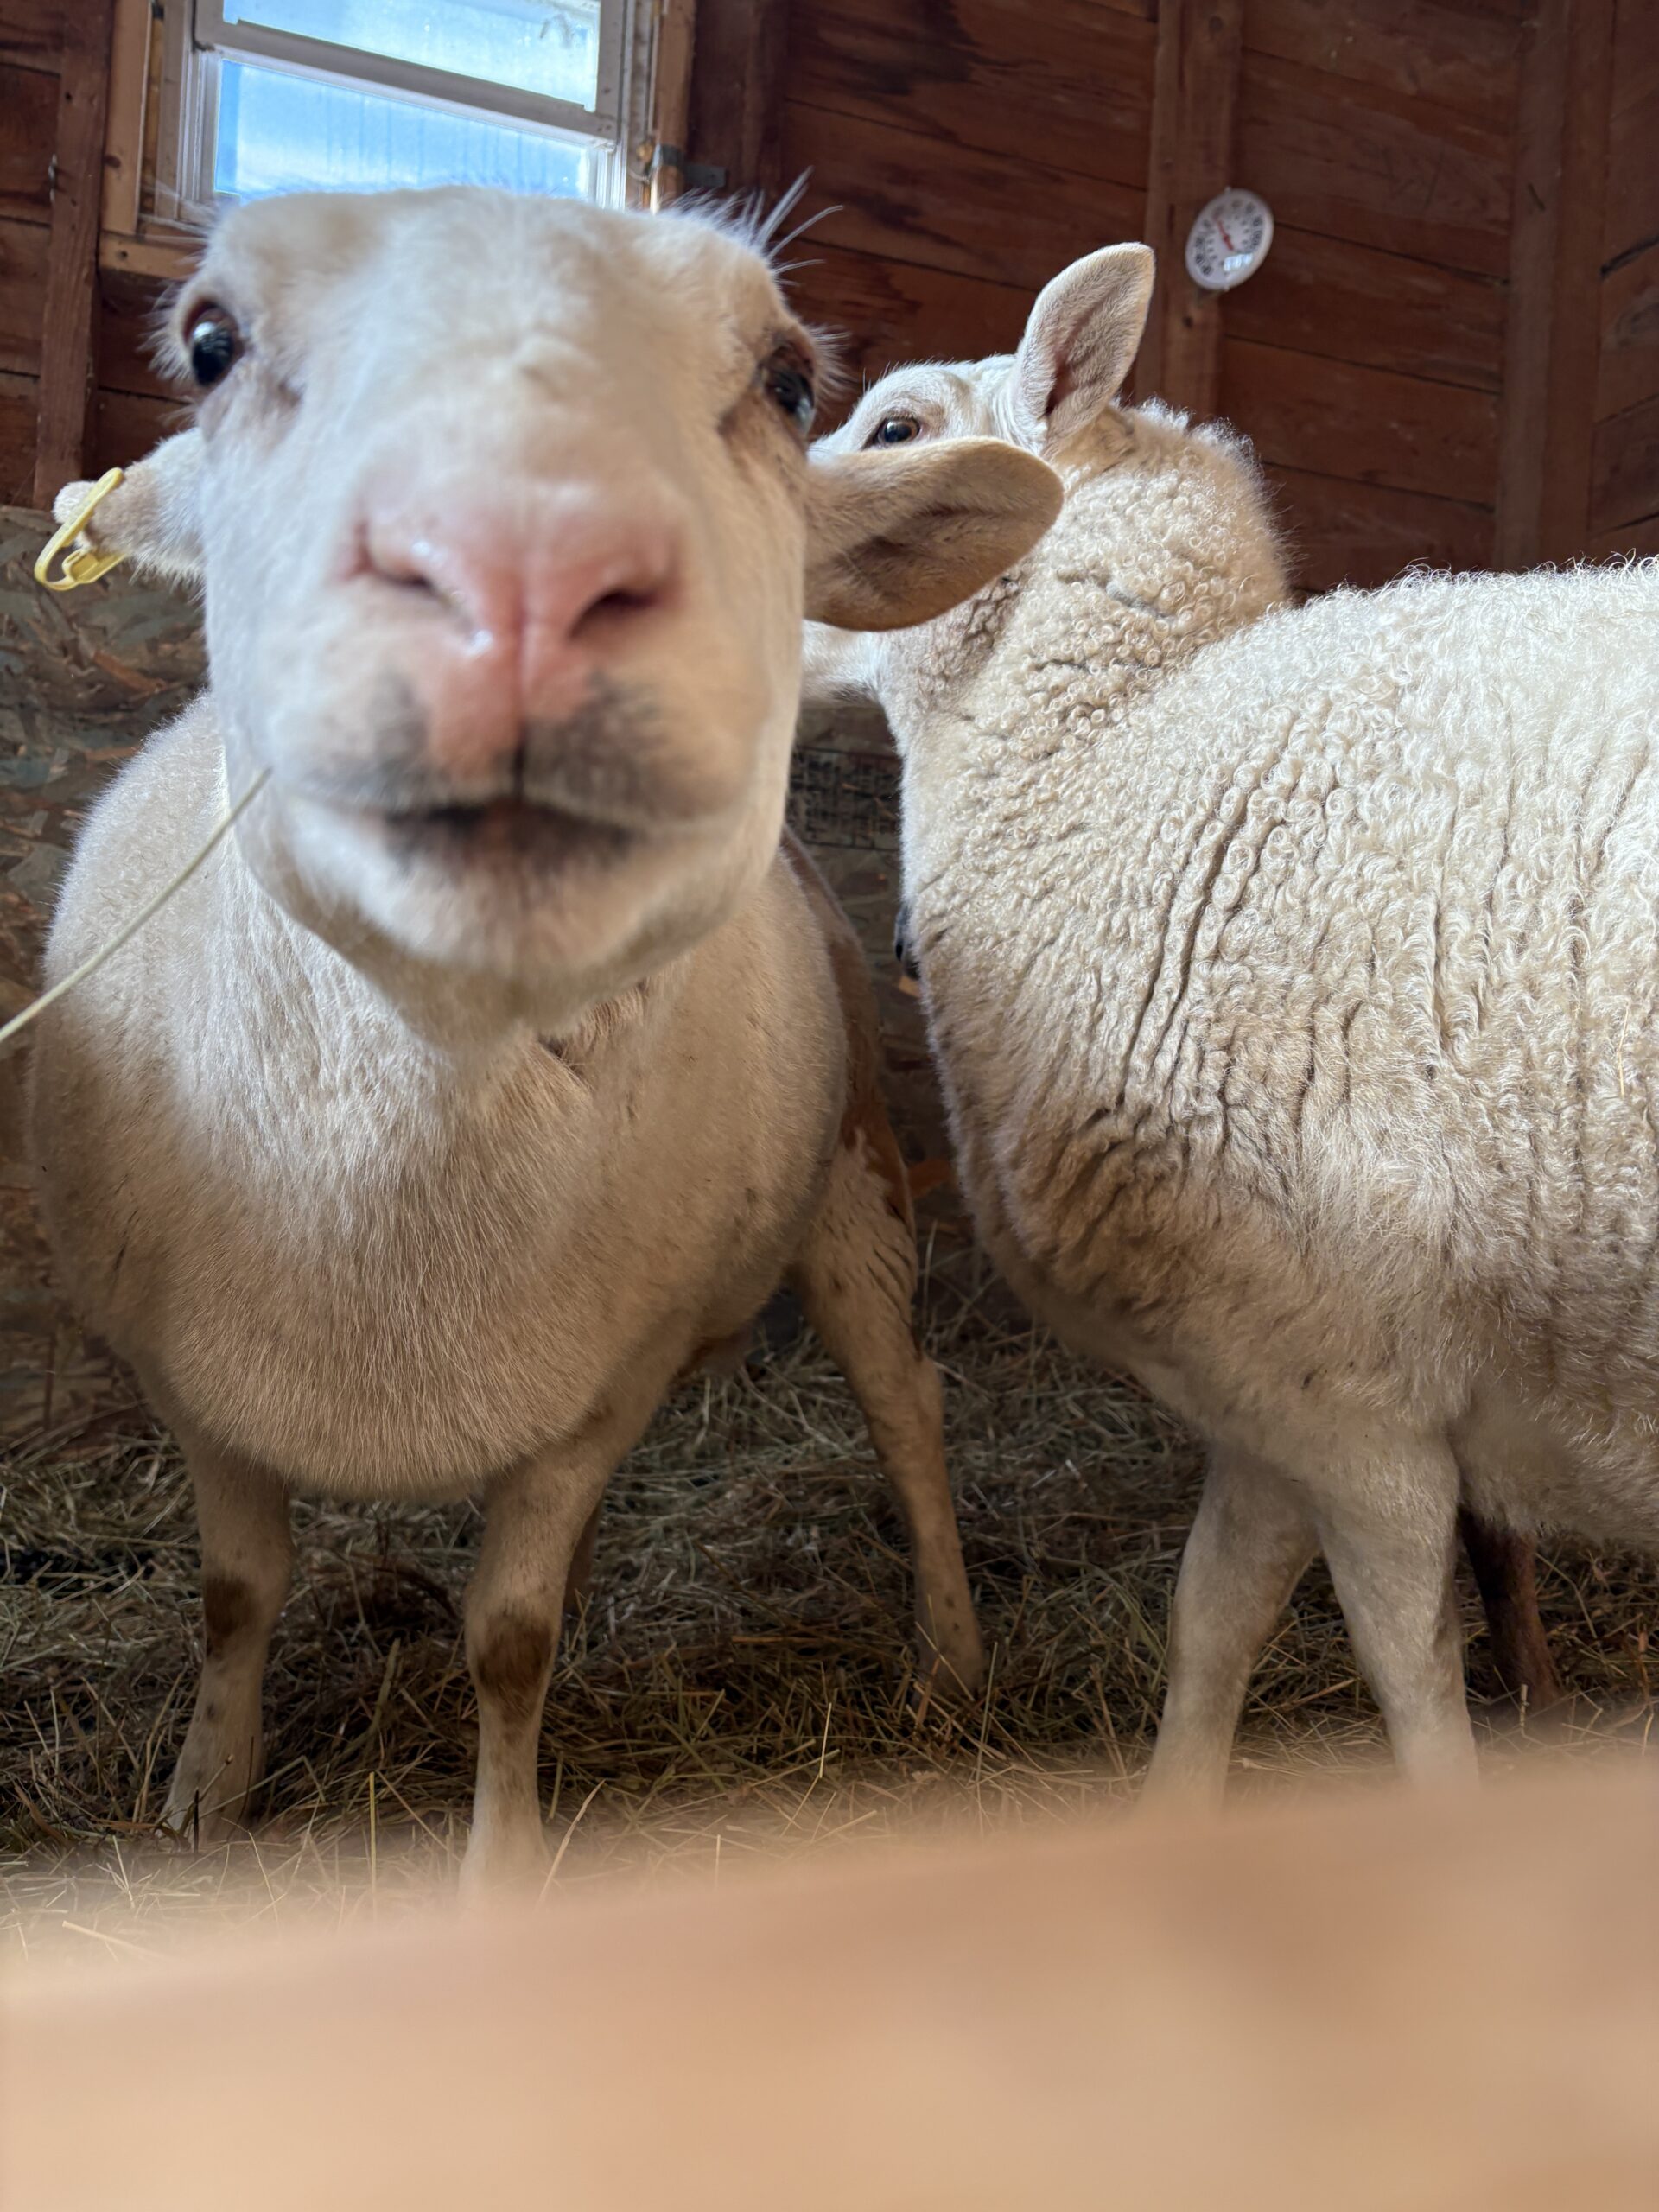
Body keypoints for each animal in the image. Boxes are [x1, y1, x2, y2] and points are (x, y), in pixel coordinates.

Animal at [27, 187, 1063, 1888]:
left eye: (788, 381)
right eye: (210, 342)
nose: (524, 568)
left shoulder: (604, 1390)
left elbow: (508, 1639)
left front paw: (500, 1862)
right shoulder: (186, 1378)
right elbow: (236, 1598)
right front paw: (203, 1794)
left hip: (853, 1173)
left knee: (906, 1405)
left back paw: (956, 1658)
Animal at [806, 243, 1659, 1796]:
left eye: (895, 428)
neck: (1120, 778)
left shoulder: (1366, 1403)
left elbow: (1409, 1680)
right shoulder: (1267, 1369)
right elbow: (1211, 1621)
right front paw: (1170, 1815)